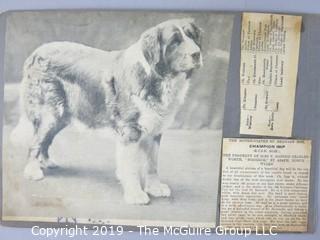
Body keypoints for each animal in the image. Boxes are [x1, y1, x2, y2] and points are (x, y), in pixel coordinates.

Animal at [12, 17, 204, 204]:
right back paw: (33, 171)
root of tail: (36, 53)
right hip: (50, 113)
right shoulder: (130, 131)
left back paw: (46, 162)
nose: (197, 54)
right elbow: (131, 167)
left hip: (61, 116)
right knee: (35, 142)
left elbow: (152, 163)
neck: (156, 77)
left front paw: (155, 187)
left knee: (46, 140)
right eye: (174, 42)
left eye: (192, 37)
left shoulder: (154, 131)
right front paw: (135, 194)